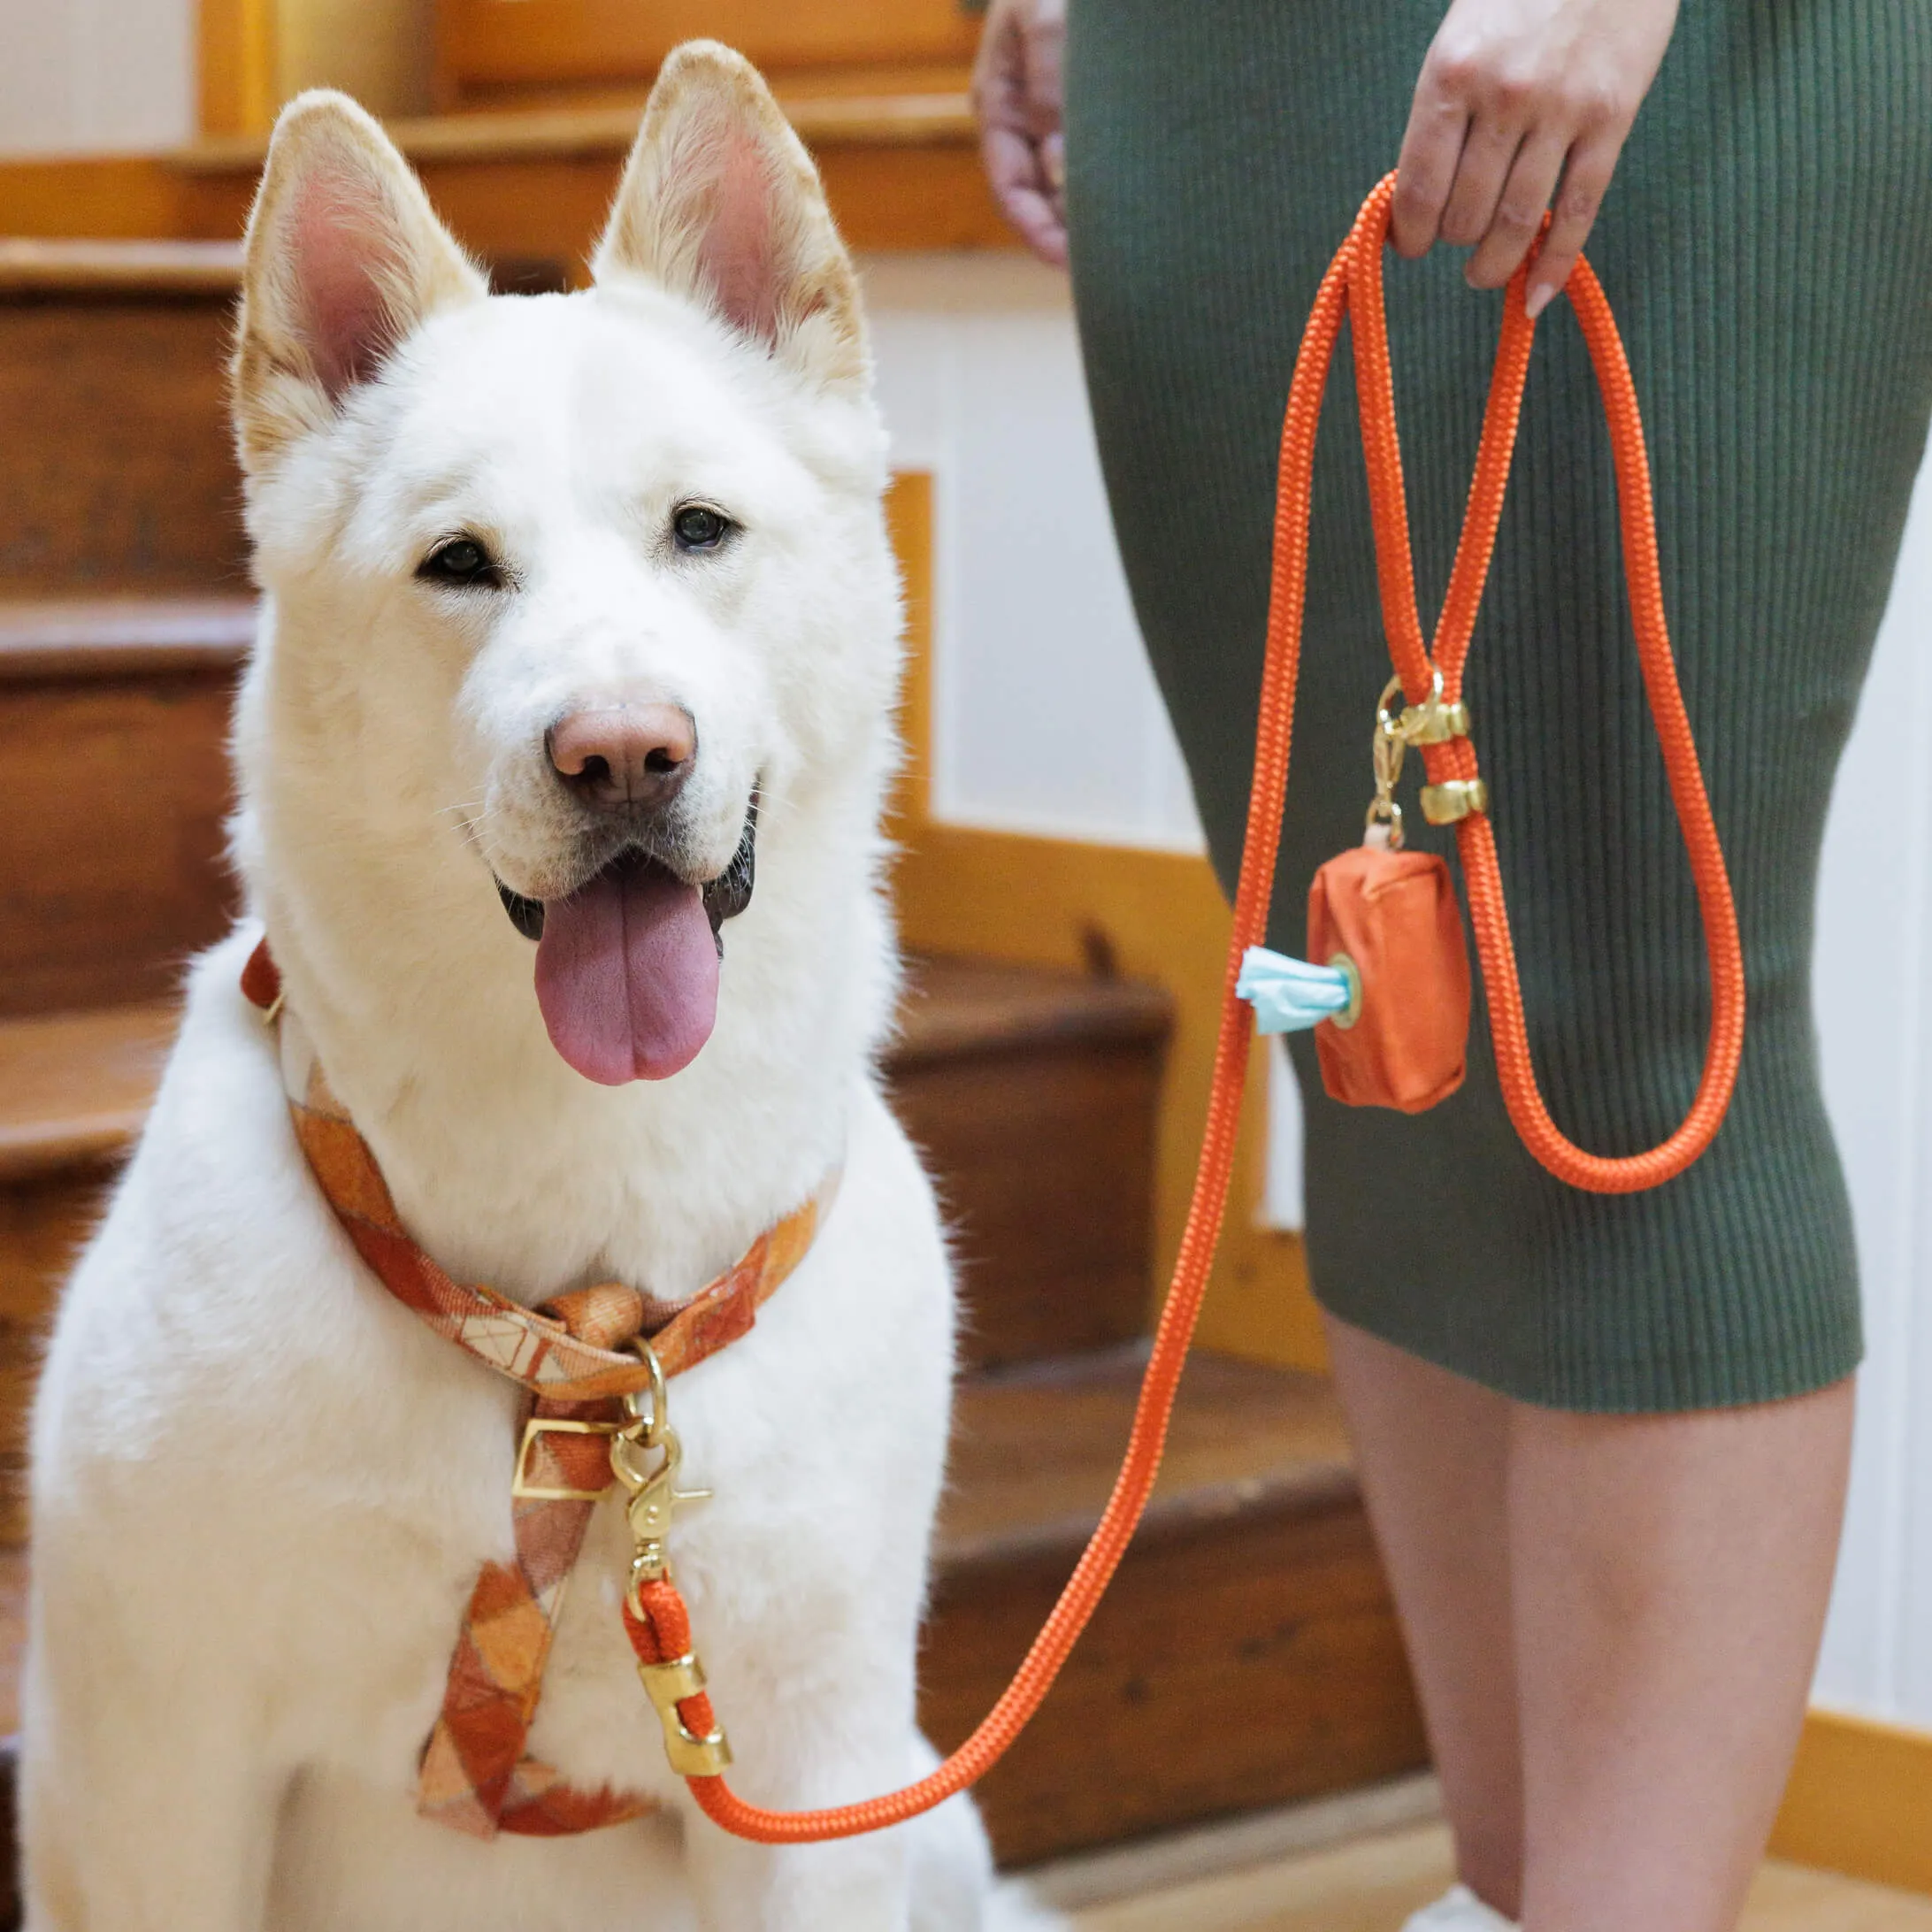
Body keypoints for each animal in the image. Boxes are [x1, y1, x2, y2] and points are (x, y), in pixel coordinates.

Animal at [19, 45, 1058, 1932]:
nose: (622, 752)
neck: (575, 1344)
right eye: (458, 561)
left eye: (699, 529)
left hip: (921, 1820)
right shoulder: (149, 1769)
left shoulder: (812, 1772)